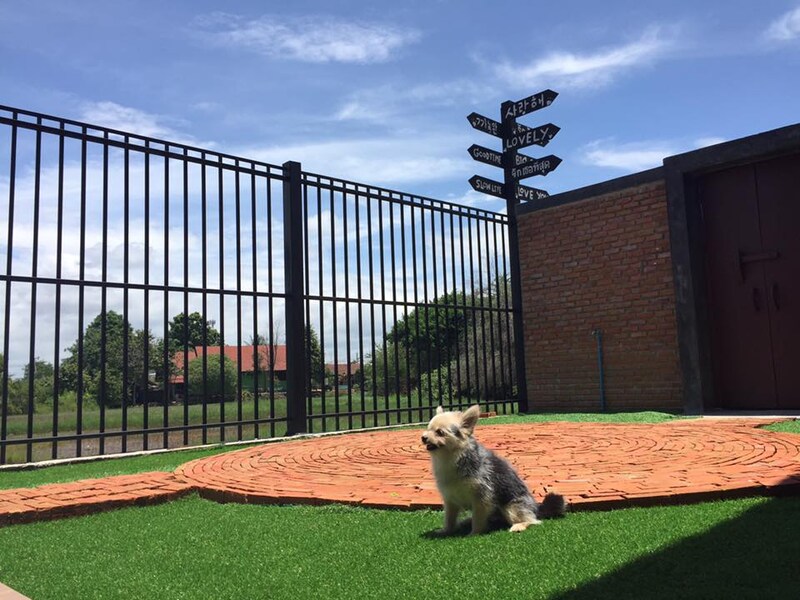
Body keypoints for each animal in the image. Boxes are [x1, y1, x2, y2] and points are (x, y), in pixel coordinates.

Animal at [421, 404, 566, 534]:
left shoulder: (482, 498)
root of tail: (536, 508)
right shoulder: (450, 500)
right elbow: (449, 519)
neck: (451, 457)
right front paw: (446, 531)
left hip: (511, 508)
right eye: (428, 429)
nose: (423, 437)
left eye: (440, 432)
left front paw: (474, 533)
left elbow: (478, 518)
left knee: (533, 520)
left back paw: (518, 526)